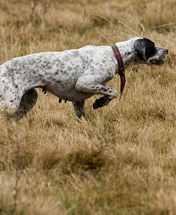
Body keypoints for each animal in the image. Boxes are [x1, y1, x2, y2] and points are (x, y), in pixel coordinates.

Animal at [0, 37, 168, 121]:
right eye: (153, 46)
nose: (166, 50)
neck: (115, 56)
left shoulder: (78, 102)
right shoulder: (84, 83)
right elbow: (112, 91)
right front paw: (101, 102)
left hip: (29, 99)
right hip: (10, 104)